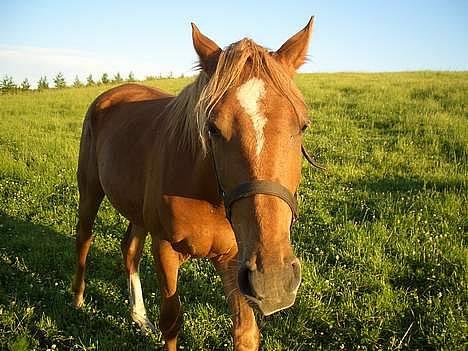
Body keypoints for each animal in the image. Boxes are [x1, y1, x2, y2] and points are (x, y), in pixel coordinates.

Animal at [72, 17, 314, 351]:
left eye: (302, 126)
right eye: (212, 128)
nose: (274, 280)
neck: (206, 192)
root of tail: (111, 94)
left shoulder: (235, 260)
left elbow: (245, 331)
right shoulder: (164, 248)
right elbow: (172, 322)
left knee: (129, 249)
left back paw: (139, 317)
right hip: (90, 191)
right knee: (84, 237)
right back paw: (78, 299)